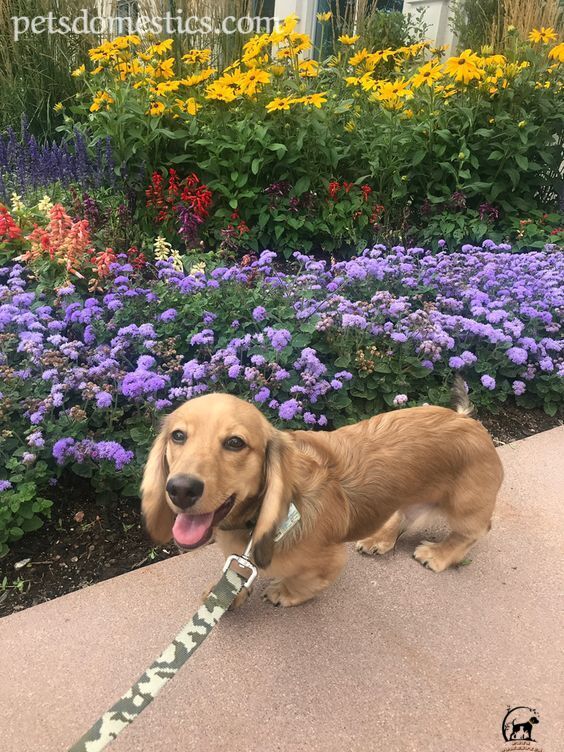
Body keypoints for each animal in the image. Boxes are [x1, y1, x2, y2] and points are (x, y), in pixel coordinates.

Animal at [141, 378, 502, 608]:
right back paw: (380, 538)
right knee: (403, 512)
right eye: (177, 436)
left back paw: (438, 554)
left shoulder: (328, 560)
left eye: (235, 443)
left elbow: (305, 582)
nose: (181, 489)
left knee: (473, 532)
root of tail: (468, 421)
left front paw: (283, 593)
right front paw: (226, 595)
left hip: (465, 506)